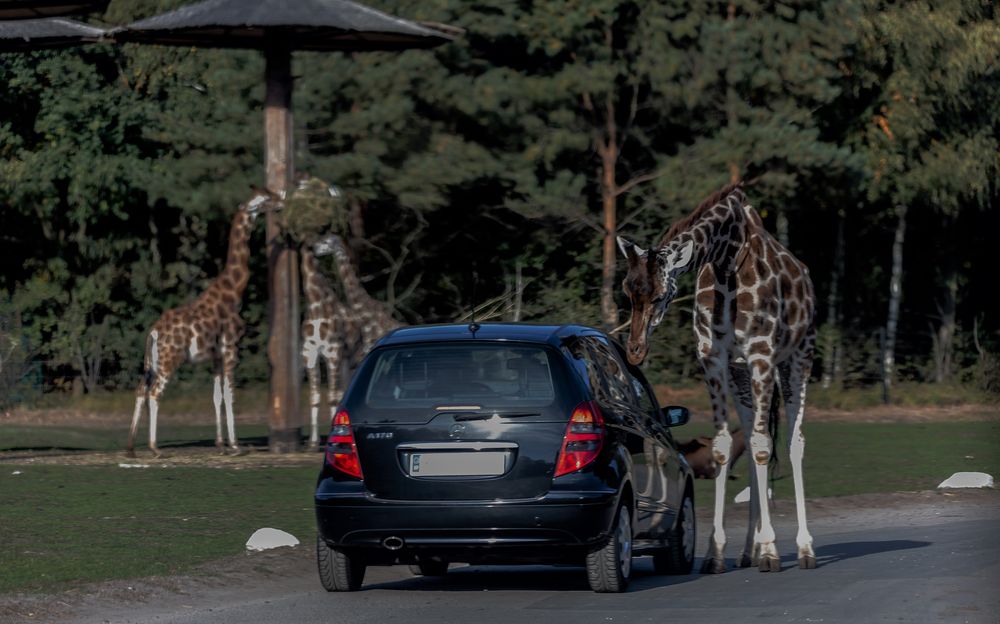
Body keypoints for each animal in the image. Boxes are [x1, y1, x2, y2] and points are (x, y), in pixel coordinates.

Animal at [127, 188, 282, 456]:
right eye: (267, 198)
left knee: (140, 390)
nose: (282, 200)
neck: (234, 291)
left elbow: (216, 396)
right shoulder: (231, 348)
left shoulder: (216, 355)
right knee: (155, 394)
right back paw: (155, 448)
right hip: (170, 361)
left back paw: (131, 448)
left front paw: (221, 444)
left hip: (151, 363)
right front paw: (235, 445)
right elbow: (230, 394)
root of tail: (154, 333)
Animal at [616, 182, 820, 576]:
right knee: (753, 437)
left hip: (797, 358)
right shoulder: (713, 358)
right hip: (742, 376)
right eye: (627, 290)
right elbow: (725, 445)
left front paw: (771, 551)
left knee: (794, 441)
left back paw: (804, 549)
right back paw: (749, 552)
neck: (727, 263)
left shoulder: (761, 354)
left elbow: (763, 446)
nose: (634, 350)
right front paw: (716, 553)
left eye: (660, 294)